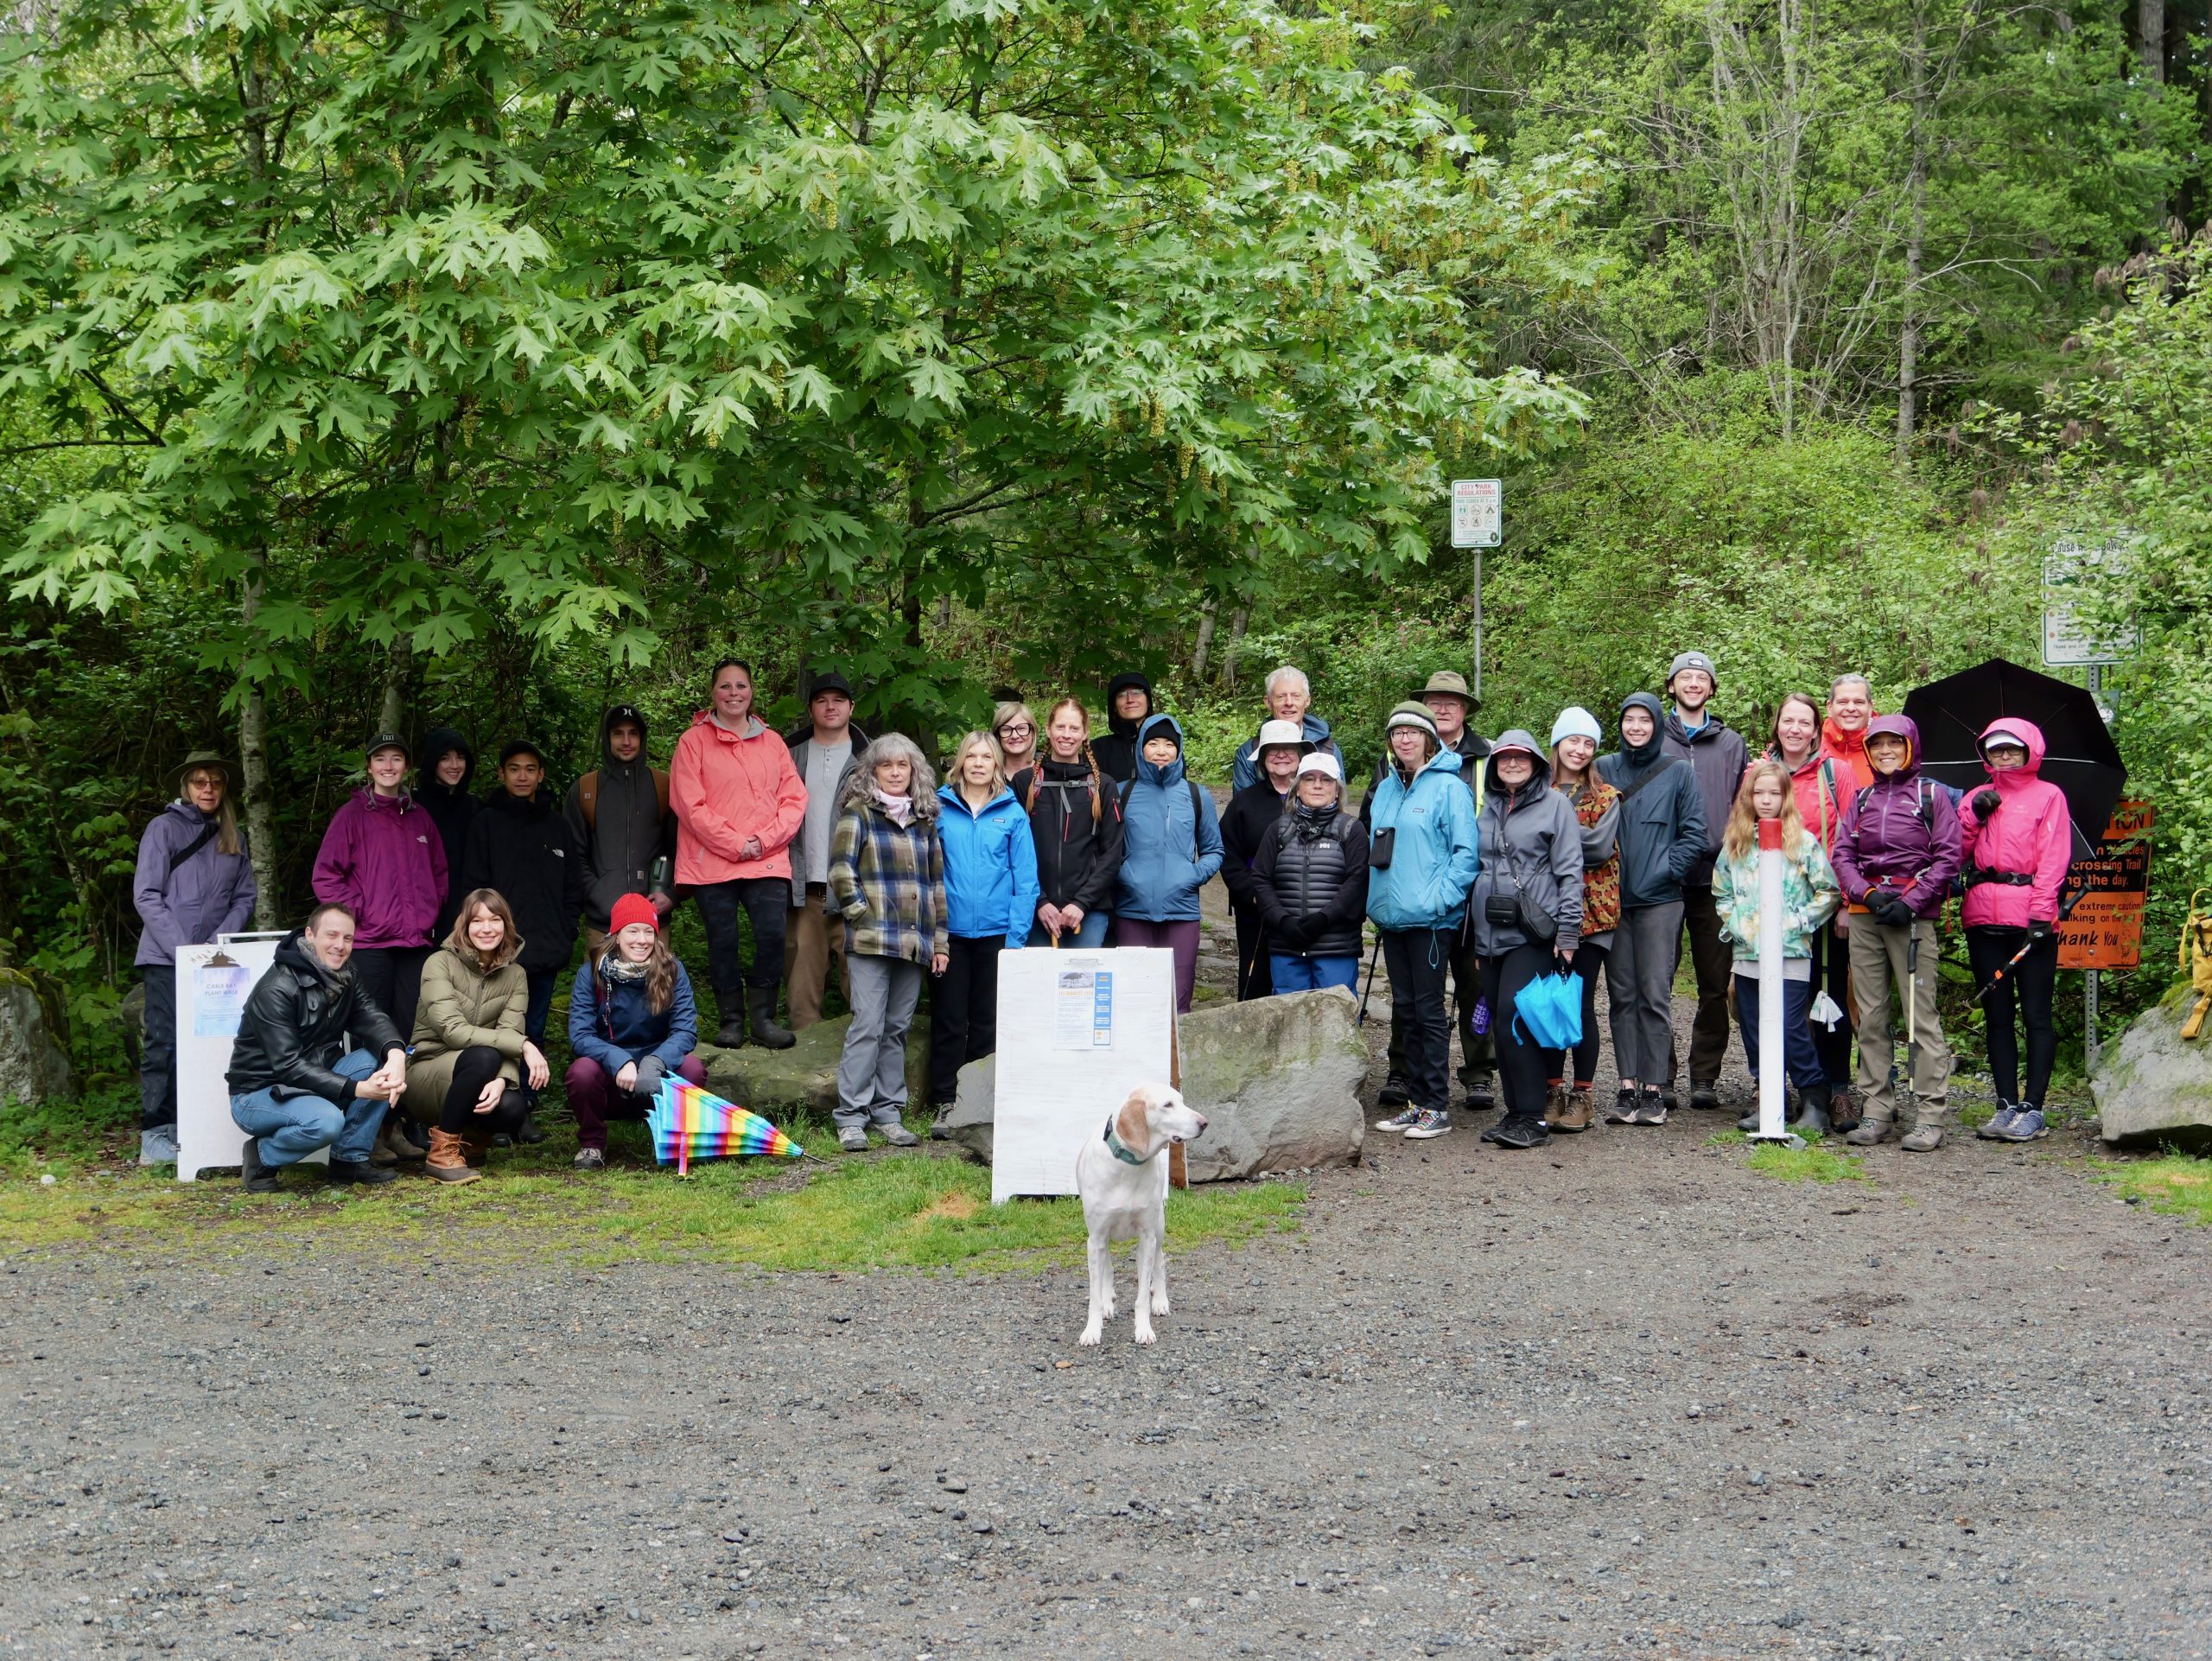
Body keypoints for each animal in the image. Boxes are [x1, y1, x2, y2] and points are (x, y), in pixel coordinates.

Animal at [1076, 1083, 1208, 1346]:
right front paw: (1092, 1330)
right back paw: (1108, 1302)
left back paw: (1160, 1301)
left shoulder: (1147, 1237)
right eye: (1168, 1105)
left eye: (1181, 1101)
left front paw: (1144, 1329)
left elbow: (1142, 1297)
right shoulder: (1095, 1238)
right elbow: (1095, 1294)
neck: (1127, 1167)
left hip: (1159, 1227)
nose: (1204, 1123)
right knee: (1107, 1268)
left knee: (1160, 1262)